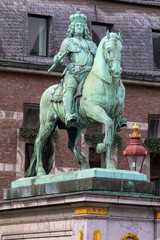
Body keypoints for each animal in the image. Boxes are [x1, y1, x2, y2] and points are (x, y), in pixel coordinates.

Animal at [25, 31, 125, 176]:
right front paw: (100, 148)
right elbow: (107, 125)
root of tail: (47, 92)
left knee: (70, 144)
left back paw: (84, 163)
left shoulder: (115, 116)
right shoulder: (94, 110)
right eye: (108, 49)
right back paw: (40, 170)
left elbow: (111, 137)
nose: (116, 71)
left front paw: (109, 165)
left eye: (121, 50)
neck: (108, 83)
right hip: (47, 123)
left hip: (75, 127)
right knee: (39, 141)